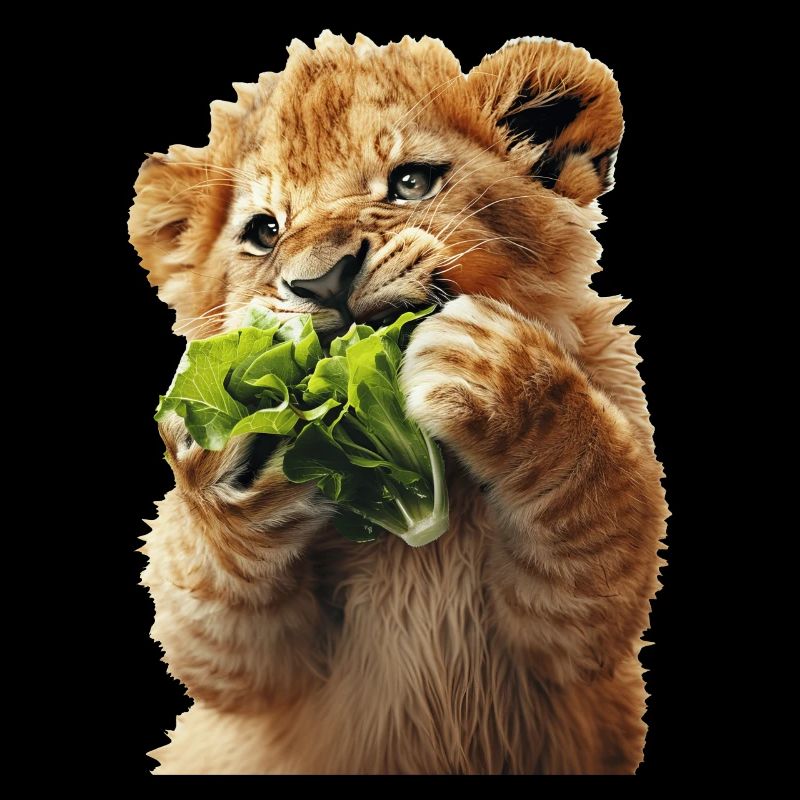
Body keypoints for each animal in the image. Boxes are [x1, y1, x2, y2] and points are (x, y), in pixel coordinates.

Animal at [128, 32, 668, 774]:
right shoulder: (258, 676)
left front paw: (498, 369)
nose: (323, 280)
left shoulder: (570, 638)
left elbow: (596, 499)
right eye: (265, 231)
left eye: (411, 182)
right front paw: (228, 453)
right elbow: (220, 631)